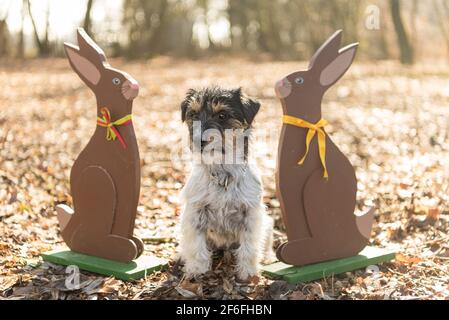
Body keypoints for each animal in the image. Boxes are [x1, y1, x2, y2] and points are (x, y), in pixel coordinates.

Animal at [178, 87, 274, 280]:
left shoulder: (251, 215)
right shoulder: (194, 214)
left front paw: (248, 272)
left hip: (267, 223)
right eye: (193, 114)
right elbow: (196, 246)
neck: (223, 173)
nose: (199, 141)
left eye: (222, 115)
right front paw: (197, 269)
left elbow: (249, 248)